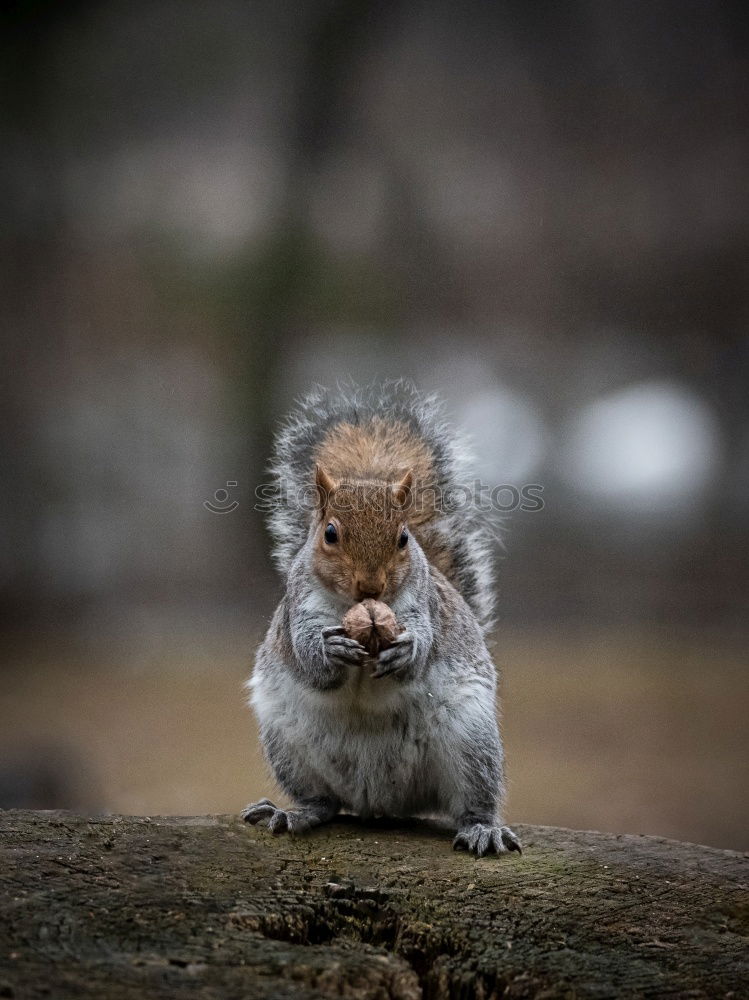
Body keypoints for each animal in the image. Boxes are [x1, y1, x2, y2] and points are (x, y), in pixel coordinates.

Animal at [241, 378, 520, 856]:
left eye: (404, 537)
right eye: (330, 533)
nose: (370, 587)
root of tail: (381, 803)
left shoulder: (421, 606)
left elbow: (422, 646)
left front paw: (406, 652)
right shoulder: (300, 608)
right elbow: (309, 661)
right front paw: (330, 649)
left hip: (471, 742)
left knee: (472, 801)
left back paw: (483, 827)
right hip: (288, 747)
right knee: (324, 801)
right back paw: (296, 813)